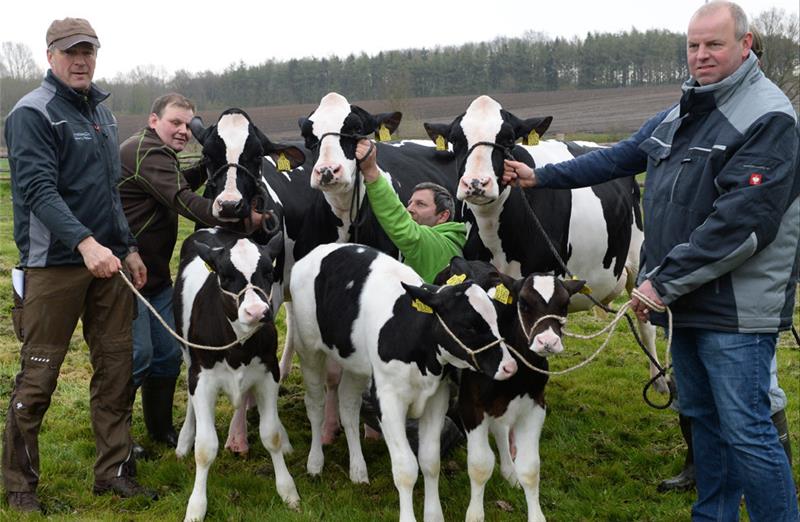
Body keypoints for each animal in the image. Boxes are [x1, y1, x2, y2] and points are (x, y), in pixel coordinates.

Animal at [173, 229, 300, 520]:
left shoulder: (268, 373)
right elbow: (205, 448)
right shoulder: (202, 379)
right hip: (189, 358)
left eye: (268, 272)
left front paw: (287, 490)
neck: (239, 346)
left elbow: (271, 435)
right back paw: (184, 439)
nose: (257, 312)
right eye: (226, 276)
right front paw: (196, 506)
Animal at [290, 243, 520, 520]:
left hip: (355, 363)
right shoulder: (388, 401)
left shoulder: (436, 399)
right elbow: (406, 468)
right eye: (469, 326)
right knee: (315, 405)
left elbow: (430, 461)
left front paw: (433, 515)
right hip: (308, 350)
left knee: (348, 406)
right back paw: (315, 463)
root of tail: (320, 250)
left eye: (496, 318)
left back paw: (358, 470)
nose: (509, 366)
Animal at [424, 95, 668, 392]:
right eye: (456, 140)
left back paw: (660, 381)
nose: (476, 183)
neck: (496, 233)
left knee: (646, 325)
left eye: (508, 139)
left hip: (638, 259)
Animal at [438, 258, 580, 520]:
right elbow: (480, 465)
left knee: (501, 428)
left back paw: (508, 470)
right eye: (523, 303)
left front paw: (536, 514)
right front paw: (475, 514)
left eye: (565, 304)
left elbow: (531, 468)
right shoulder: (471, 406)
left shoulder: (535, 405)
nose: (548, 342)